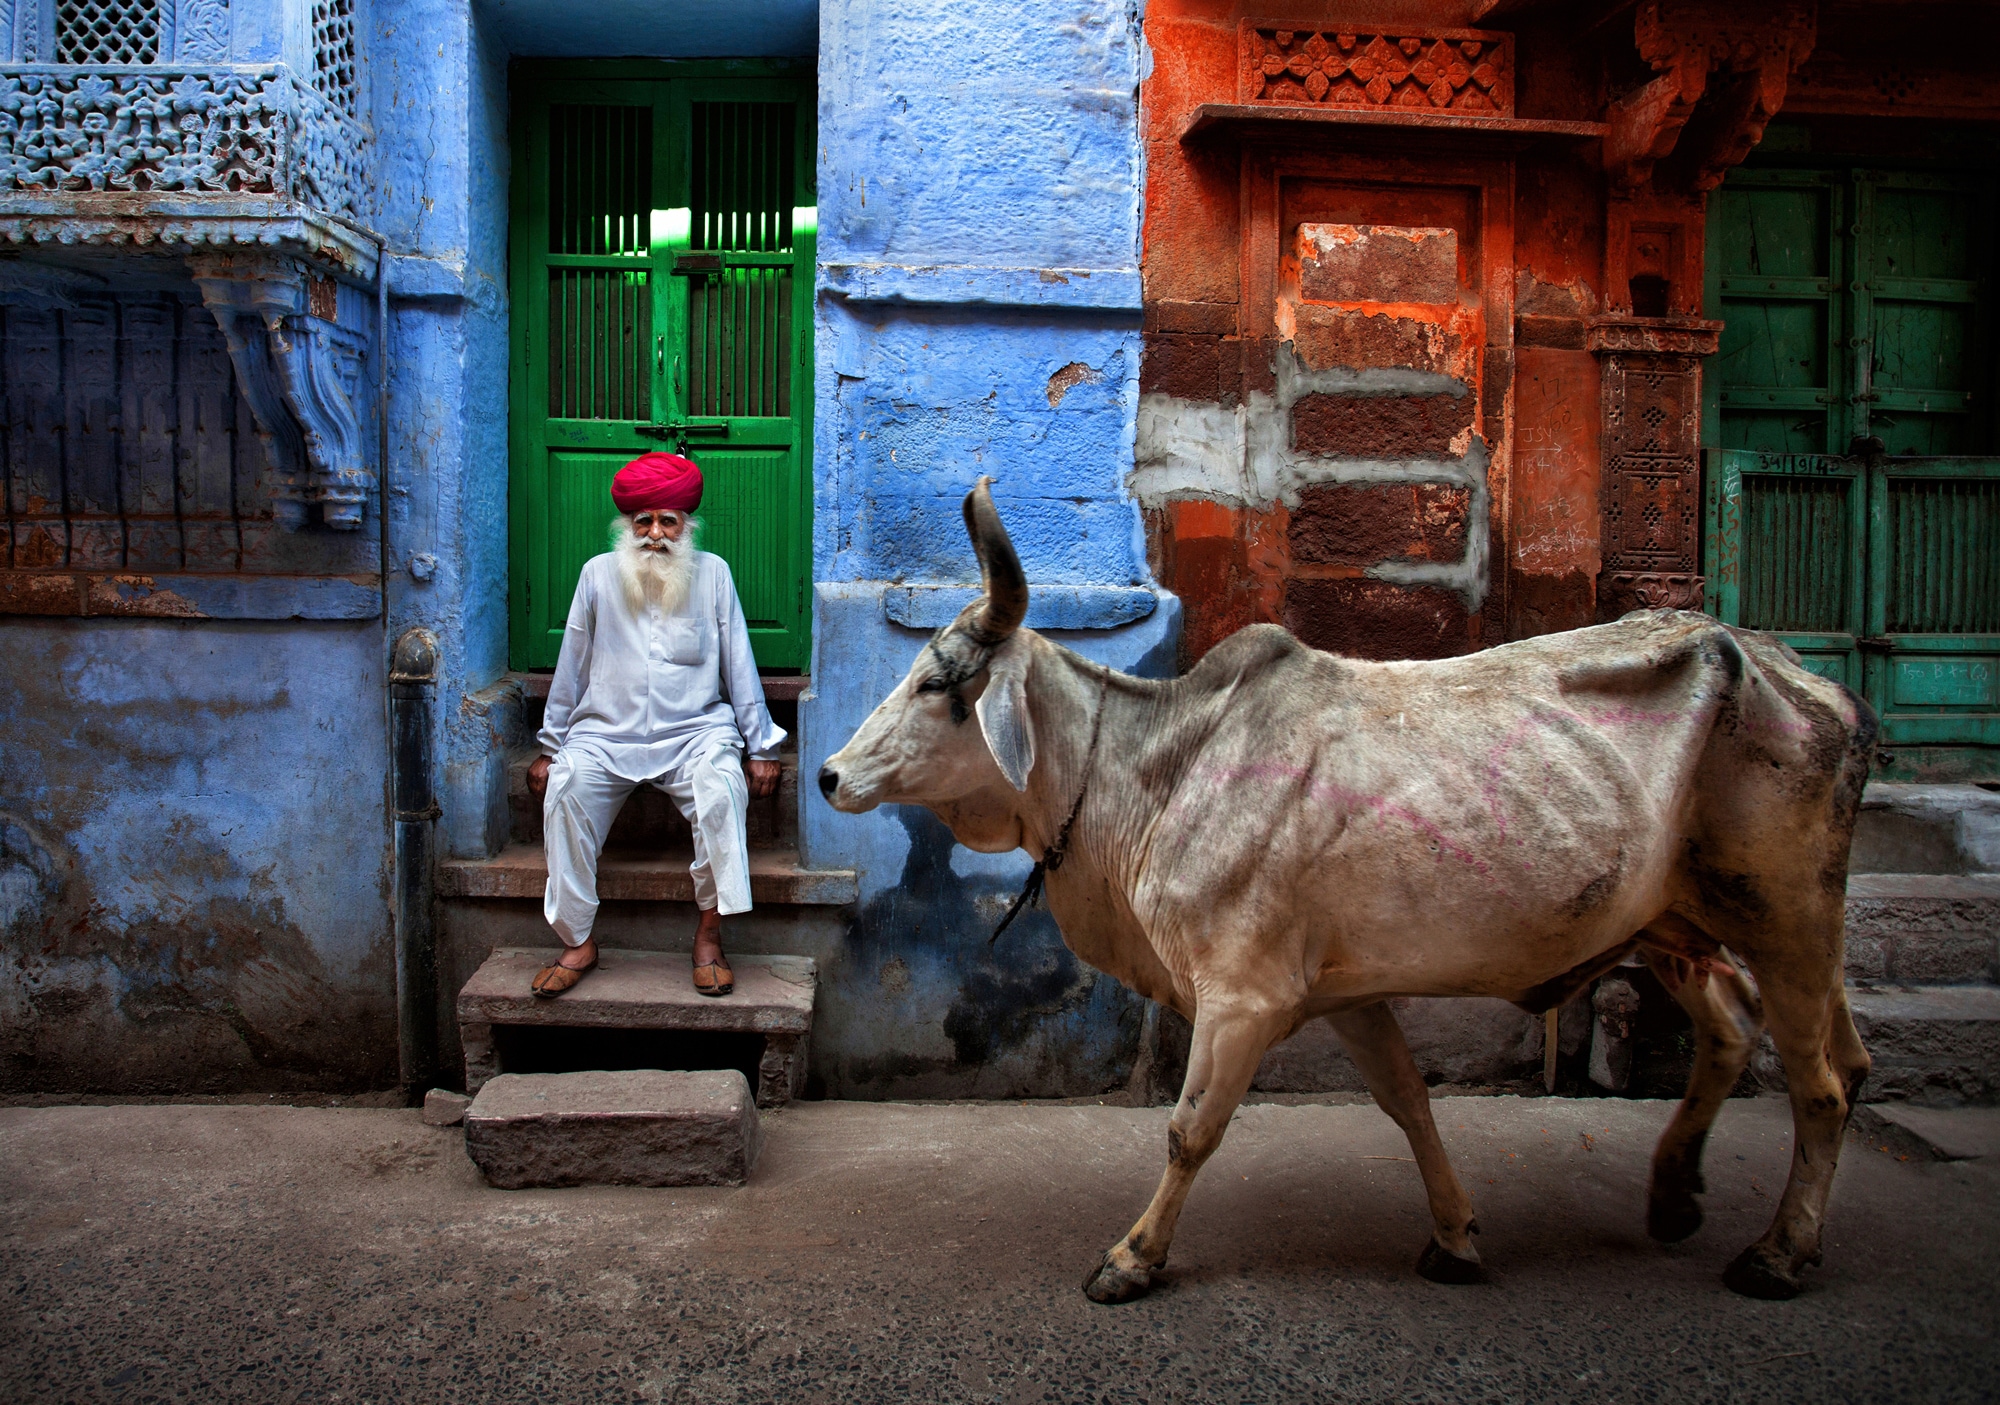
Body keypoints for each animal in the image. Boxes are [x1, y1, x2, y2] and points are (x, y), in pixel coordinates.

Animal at [816, 484, 1872, 1312]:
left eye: (934, 684)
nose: (828, 775)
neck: (1156, 768)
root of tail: (1802, 676)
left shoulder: (1242, 998)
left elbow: (1190, 1128)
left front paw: (1133, 1257)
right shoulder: (1349, 994)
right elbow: (1410, 1103)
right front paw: (1455, 1237)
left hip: (1787, 916)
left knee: (1821, 1082)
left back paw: (1779, 1253)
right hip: (1680, 921)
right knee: (1748, 1033)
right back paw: (1675, 1193)